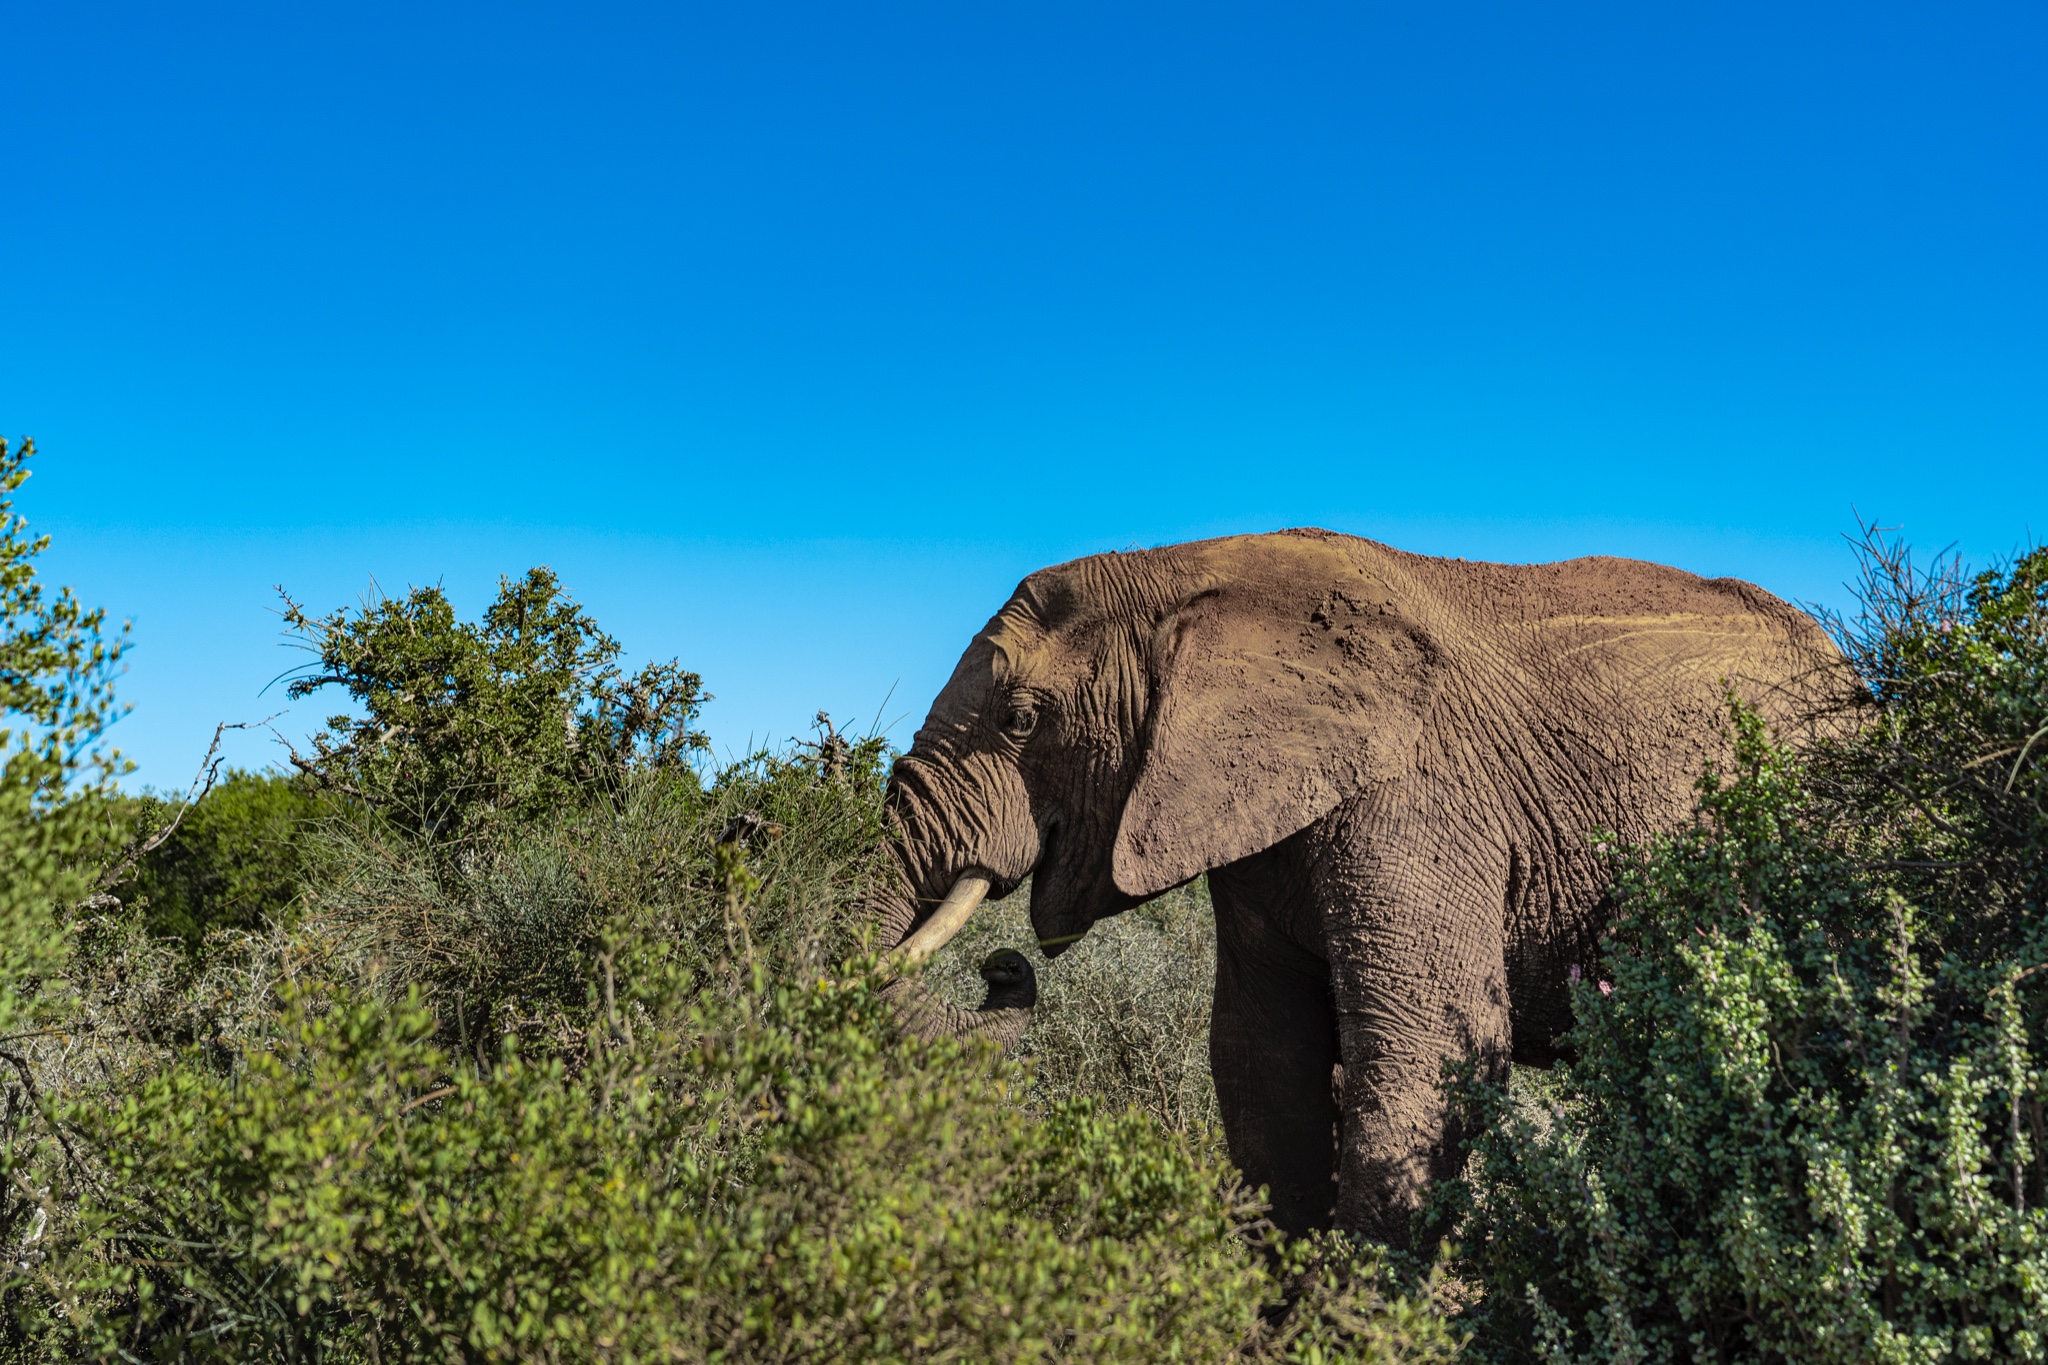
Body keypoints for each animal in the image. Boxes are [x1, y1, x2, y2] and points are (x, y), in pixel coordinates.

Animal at [872, 527, 1835, 1244]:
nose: (1003, 967)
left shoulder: (1425, 796)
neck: (1194, 574)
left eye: (1020, 719)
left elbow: (1429, 1050)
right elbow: (1263, 1064)